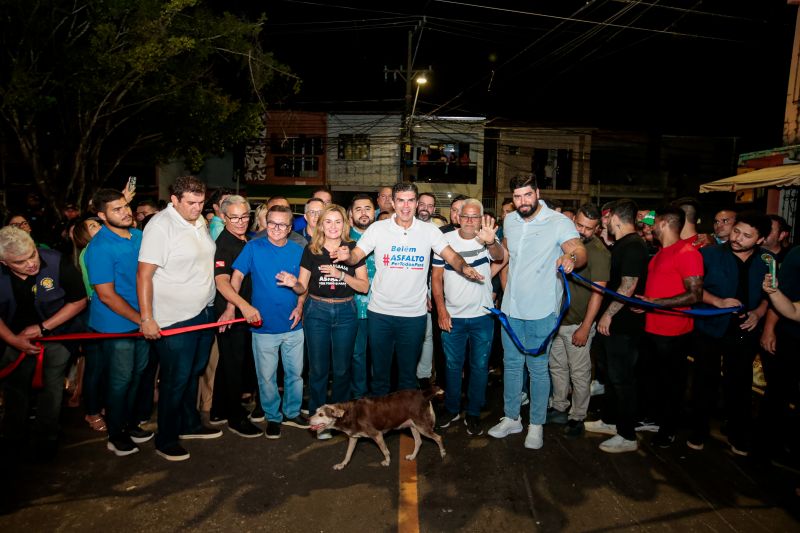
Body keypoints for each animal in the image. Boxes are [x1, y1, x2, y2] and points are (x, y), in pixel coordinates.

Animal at [308, 386, 446, 470]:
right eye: (316, 411)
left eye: (321, 414)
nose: (308, 420)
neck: (348, 413)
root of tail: (423, 394)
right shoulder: (353, 438)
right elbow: (348, 454)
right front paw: (342, 465)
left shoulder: (377, 435)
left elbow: (385, 450)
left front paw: (387, 461)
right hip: (414, 426)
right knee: (419, 442)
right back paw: (412, 457)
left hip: (422, 427)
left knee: (438, 437)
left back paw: (443, 453)